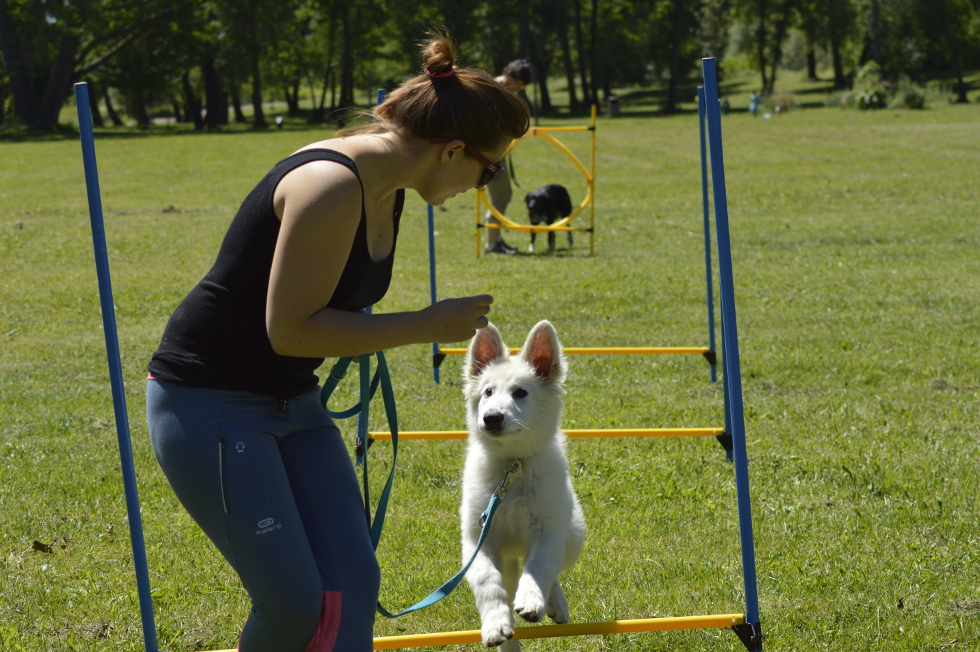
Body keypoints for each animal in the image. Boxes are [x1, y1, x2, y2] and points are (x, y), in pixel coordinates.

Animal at [458, 322, 584, 652]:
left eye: (520, 393)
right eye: (488, 391)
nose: (491, 418)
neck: (512, 468)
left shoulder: (547, 532)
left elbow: (539, 568)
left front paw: (531, 600)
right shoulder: (478, 539)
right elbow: (488, 582)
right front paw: (495, 625)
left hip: (572, 536)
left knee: (553, 569)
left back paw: (555, 603)